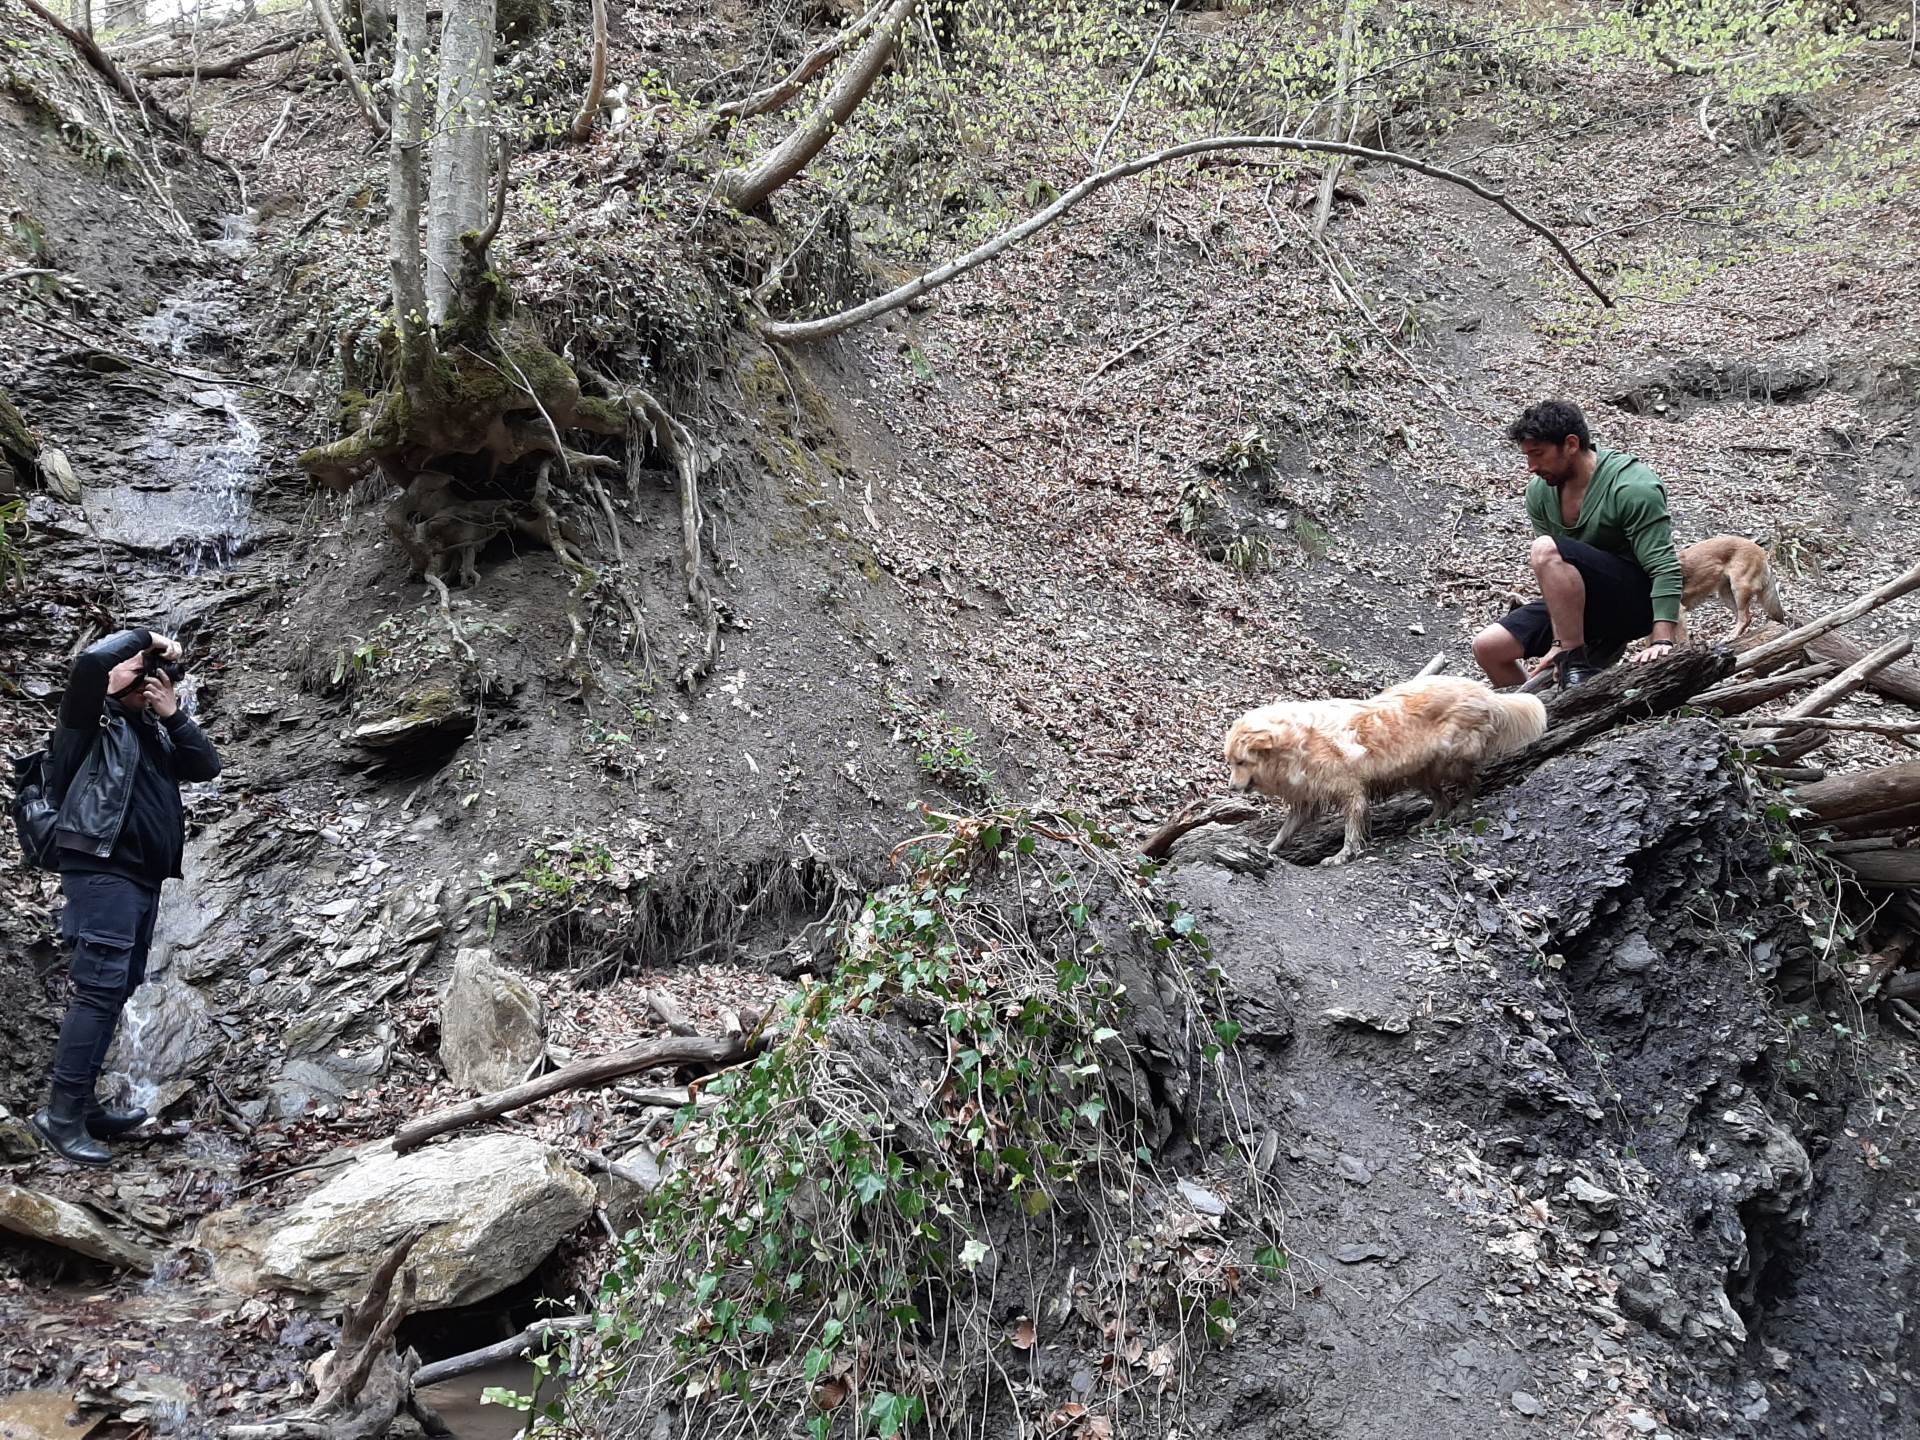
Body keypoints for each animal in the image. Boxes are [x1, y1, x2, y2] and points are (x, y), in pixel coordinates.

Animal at [1228, 679, 1543, 867]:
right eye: (1230, 762)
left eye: (1240, 762)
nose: (1231, 788)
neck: (1296, 744)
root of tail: (1486, 693)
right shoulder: (1308, 798)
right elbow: (1286, 829)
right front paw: (1269, 847)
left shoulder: (1351, 792)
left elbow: (1351, 829)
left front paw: (1342, 855)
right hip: (1420, 774)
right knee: (1442, 799)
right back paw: (1427, 822)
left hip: (1449, 762)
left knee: (1471, 783)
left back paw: (1463, 810)